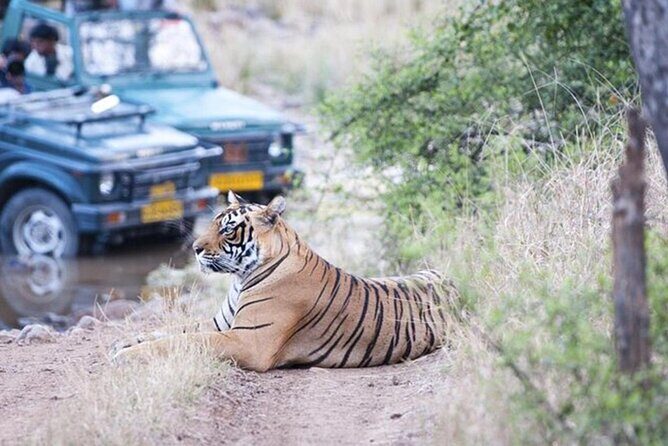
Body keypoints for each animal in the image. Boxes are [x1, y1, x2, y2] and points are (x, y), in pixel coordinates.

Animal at [112, 192, 459, 372]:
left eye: (228, 229)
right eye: (212, 222)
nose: (195, 249)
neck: (240, 278)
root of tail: (452, 281)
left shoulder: (246, 340)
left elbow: (184, 340)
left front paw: (126, 355)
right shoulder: (220, 324)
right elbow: (172, 330)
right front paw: (124, 342)